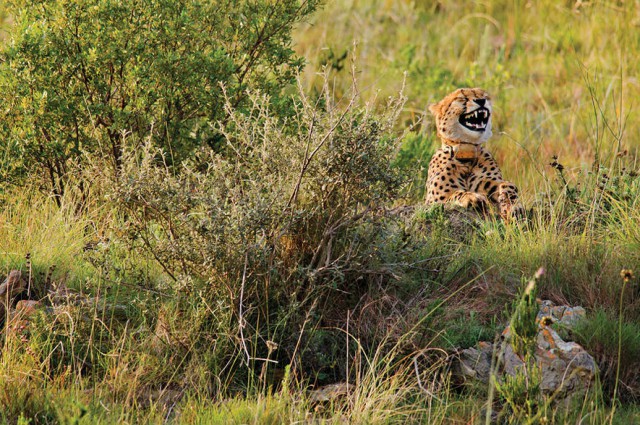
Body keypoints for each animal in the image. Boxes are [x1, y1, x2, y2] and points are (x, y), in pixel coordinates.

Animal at [422, 86, 524, 219]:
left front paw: (512, 205)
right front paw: (472, 197)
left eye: (484, 96)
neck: (467, 151)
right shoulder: (434, 200)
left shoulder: (490, 182)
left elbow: (508, 185)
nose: (481, 101)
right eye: (461, 98)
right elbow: (455, 193)